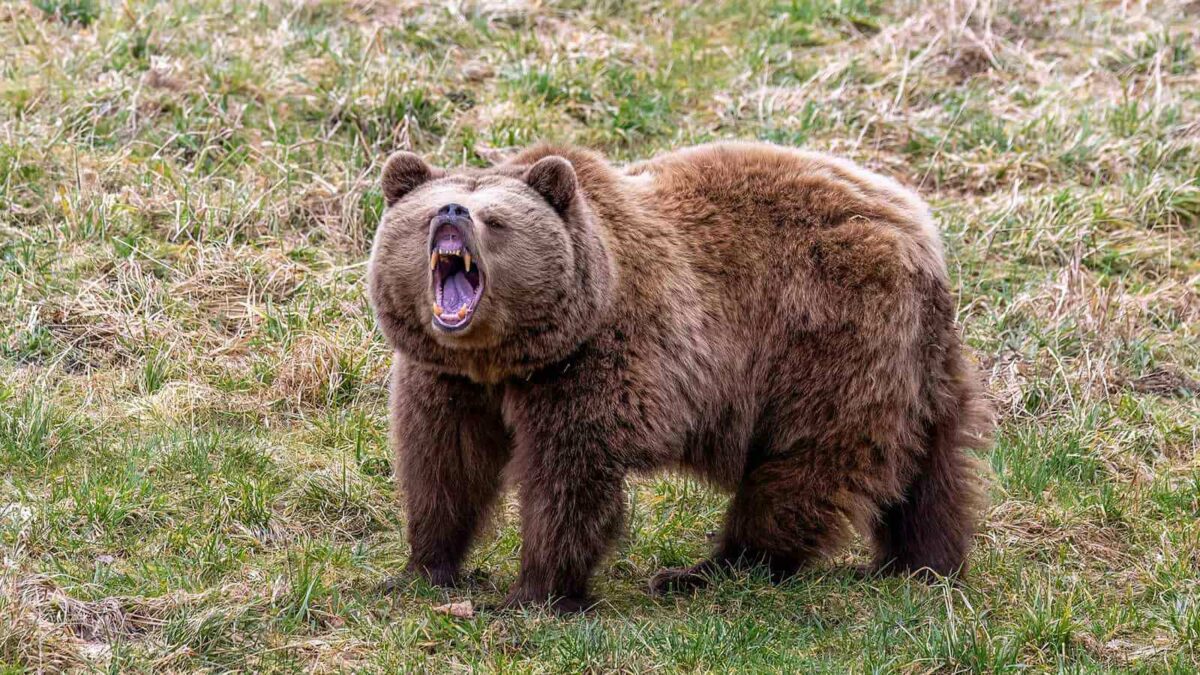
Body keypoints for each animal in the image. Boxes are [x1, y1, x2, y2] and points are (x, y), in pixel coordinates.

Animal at [367, 141, 991, 612]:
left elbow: (567, 476)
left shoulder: (593, 365)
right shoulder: (447, 379)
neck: (503, 358)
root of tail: (917, 225)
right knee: (932, 466)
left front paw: (535, 593)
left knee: (810, 458)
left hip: (828, 330)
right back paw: (922, 564)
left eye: (495, 219)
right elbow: (446, 465)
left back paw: (710, 570)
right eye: (428, 211)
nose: (453, 213)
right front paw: (423, 568)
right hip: (921, 363)